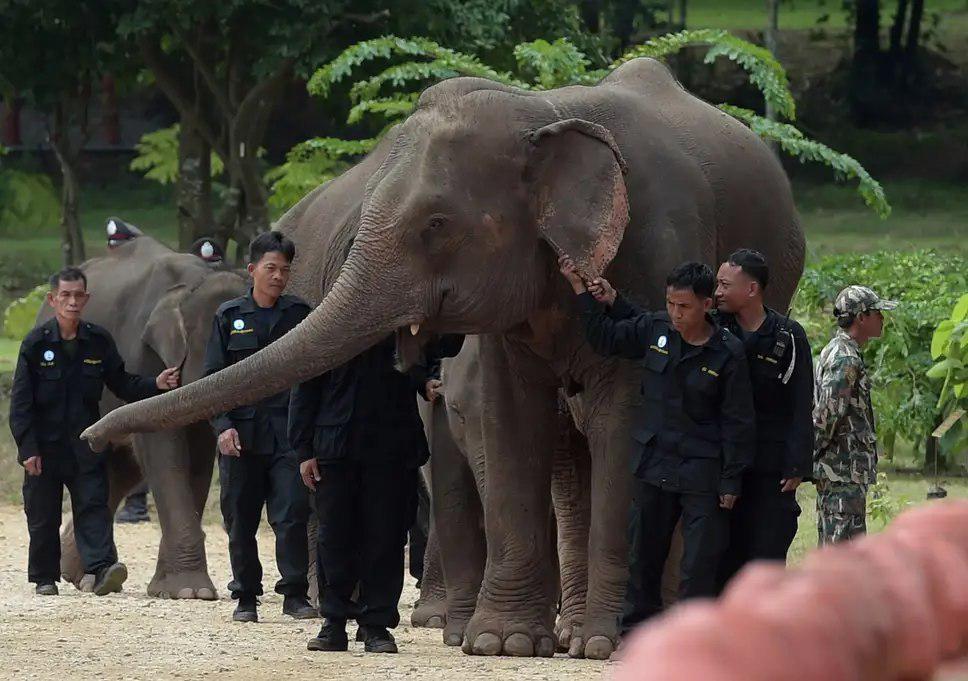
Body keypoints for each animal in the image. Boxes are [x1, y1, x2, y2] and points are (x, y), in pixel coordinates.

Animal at [83, 59, 804, 660]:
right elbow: (510, 420)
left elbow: (629, 423)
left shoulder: (657, 251)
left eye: (435, 225)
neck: (542, 111)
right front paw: (504, 644)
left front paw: (605, 645)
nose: (91, 434)